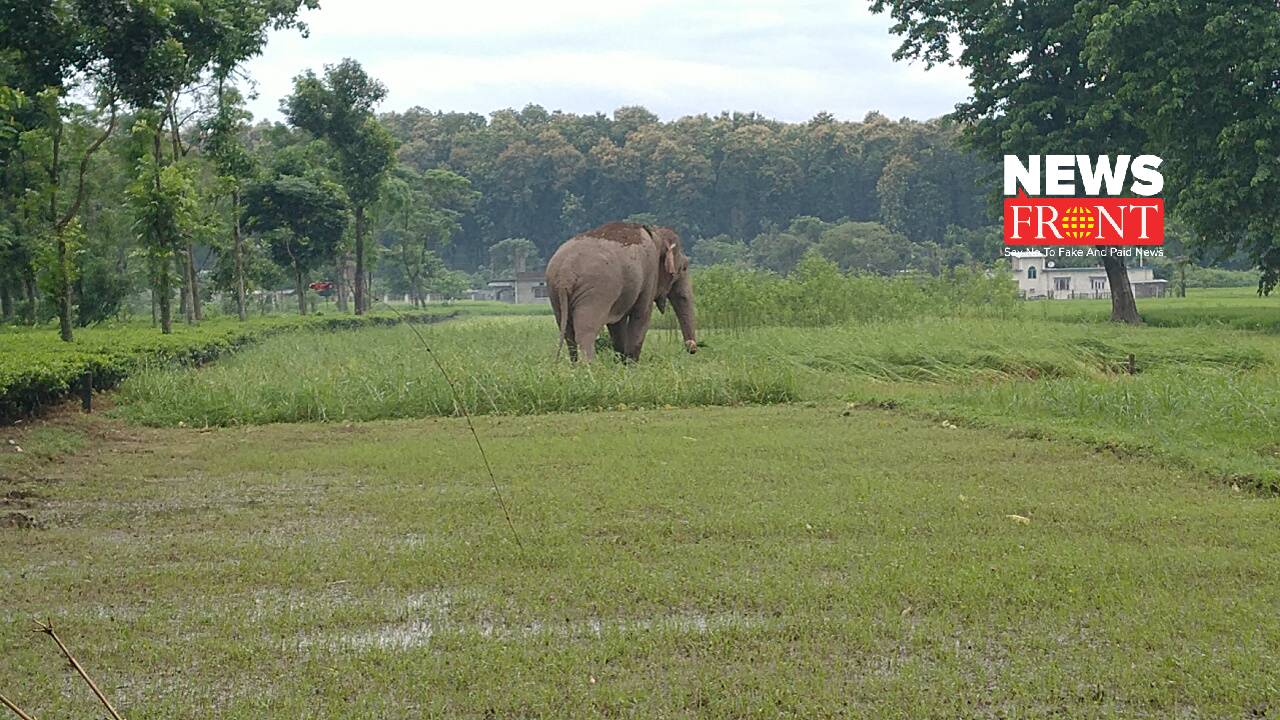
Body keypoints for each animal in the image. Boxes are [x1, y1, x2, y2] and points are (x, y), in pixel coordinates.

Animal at [545, 221, 696, 361]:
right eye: (684, 268)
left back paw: (575, 367)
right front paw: (631, 365)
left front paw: (621, 363)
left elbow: (617, 324)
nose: (691, 348)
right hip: (595, 293)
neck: (655, 233)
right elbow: (642, 315)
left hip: (555, 292)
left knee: (567, 332)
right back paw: (589, 367)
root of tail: (565, 273)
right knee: (585, 331)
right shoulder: (649, 276)